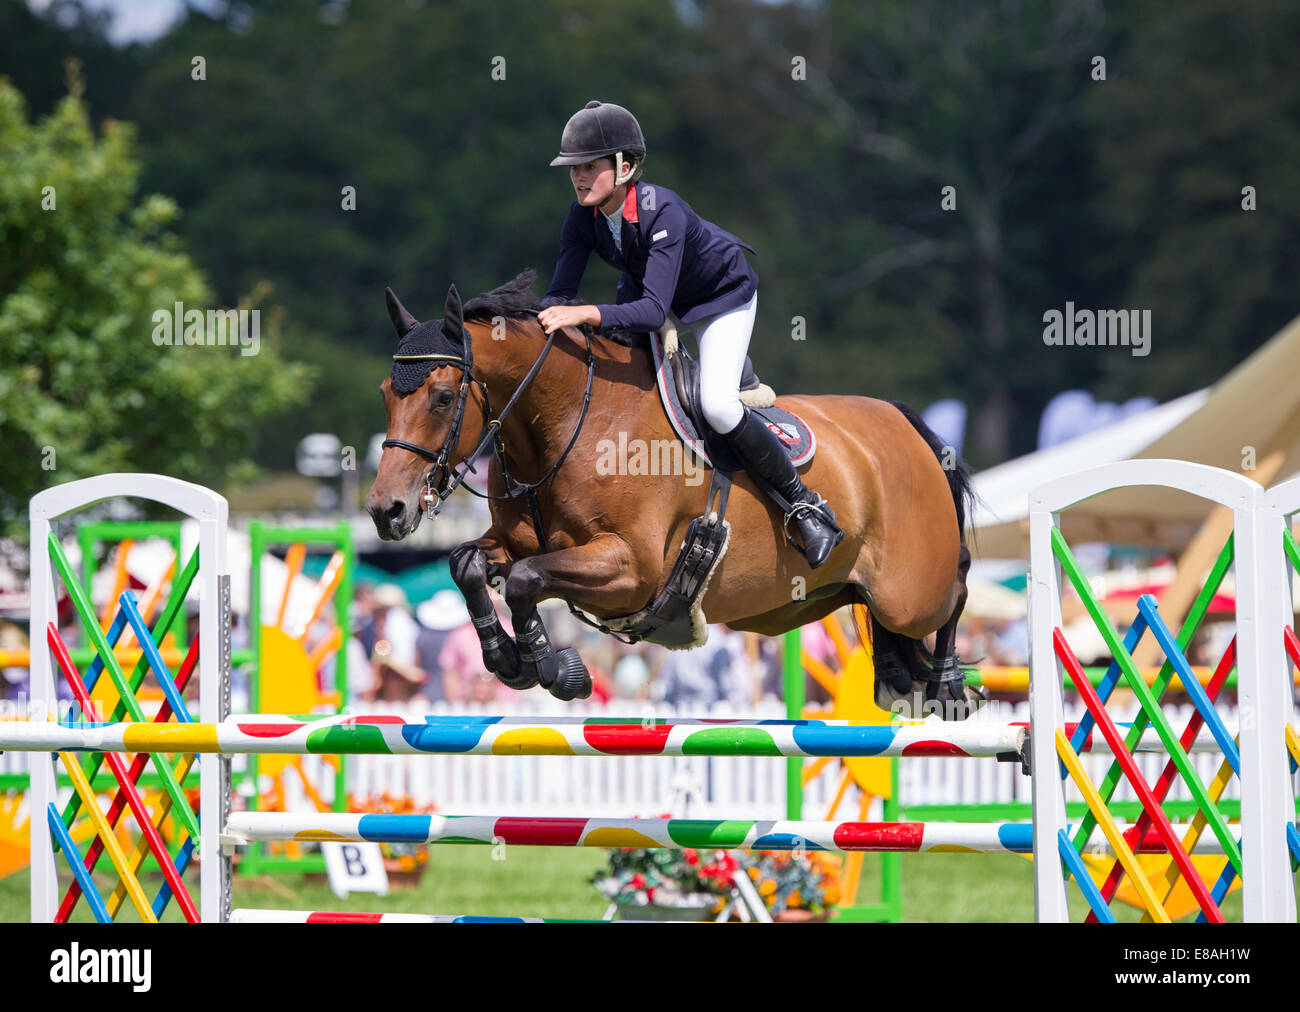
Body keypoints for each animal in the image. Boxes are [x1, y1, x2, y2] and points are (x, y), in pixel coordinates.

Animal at [366, 267, 977, 718]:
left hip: (910, 593)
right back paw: (900, 680)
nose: (385, 511)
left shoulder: (631, 569)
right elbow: (467, 564)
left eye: (444, 397)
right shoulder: (514, 543)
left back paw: (947, 685)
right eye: (385, 394)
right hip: (845, 592)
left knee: (960, 581)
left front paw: (555, 669)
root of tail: (904, 423)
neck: (567, 425)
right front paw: (506, 659)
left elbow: (524, 580)